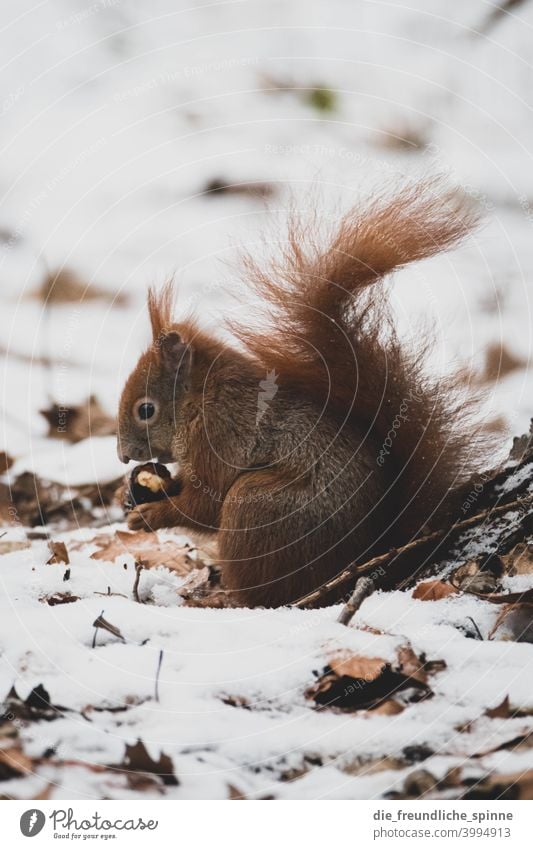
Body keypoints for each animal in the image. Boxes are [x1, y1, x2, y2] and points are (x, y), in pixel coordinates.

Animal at [117, 179, 490, 608]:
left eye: (146, 410)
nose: (122, 455)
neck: (200, 400)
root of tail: (358, 565)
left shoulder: (220, 437)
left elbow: (203, 506)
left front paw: (149, 516)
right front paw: (131, 493)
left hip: (256, 505)